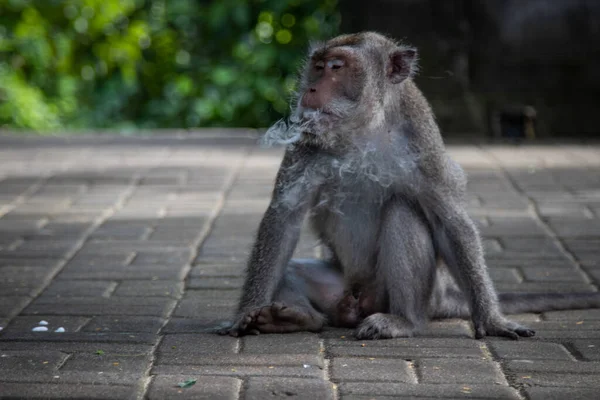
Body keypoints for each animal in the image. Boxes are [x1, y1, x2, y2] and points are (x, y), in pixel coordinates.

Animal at [219, 32, 600, 340]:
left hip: (410, 294)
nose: (311, 89)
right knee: (293, 269)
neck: (366, 127)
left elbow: (449, 221)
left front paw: (493, 321)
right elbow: (284, 217)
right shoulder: (308, 140)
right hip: (338, 288)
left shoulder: (422, 142)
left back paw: (404, 321)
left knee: (403, 210)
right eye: (317, 66)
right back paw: (298, 319)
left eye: (337, 67)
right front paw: (246, 312)